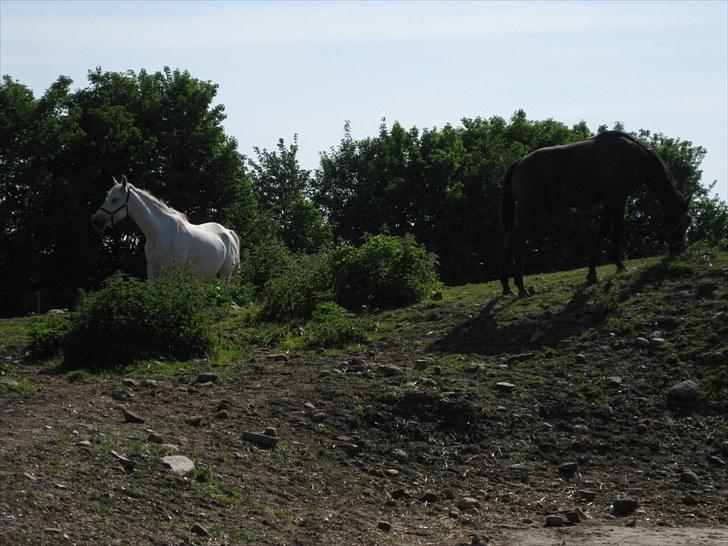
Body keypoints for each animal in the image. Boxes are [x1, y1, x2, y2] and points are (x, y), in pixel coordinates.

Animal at [92, 175, 240, 280]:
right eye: (107, 197)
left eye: (115, 199)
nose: (96, 220)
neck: (159, 233)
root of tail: (228, 232)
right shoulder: (152, 271)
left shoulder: (173, 271)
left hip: (225, 275)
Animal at [500, 130, 692, 296]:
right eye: (686, 221)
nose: (678, 250)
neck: (634, 157)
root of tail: (519, 163)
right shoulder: (610, 198)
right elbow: (603, 231)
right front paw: (592, 271)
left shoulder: (621, 198)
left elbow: (618, 230)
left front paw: (619, 265)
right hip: (531, 208)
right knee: (518, 239)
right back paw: (520, 287)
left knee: (515, 239)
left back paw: (508, 287)